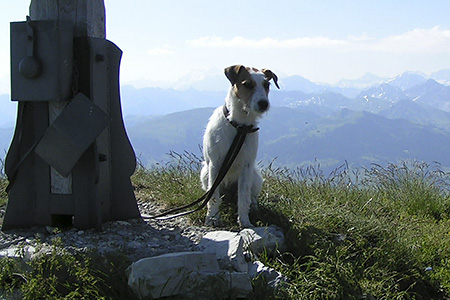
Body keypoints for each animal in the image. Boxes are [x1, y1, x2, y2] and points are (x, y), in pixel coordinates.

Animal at [200, 64, 278, 226]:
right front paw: (212, 218)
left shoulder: (246, 168)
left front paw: (244, 221)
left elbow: (243, 198)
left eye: (266, 85)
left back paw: (254, 208)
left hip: (255, 177)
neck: (240, 127)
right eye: (247, 84)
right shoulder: (215, 165)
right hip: (205, 173)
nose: (264, 104)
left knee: (251, 197)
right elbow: (213, 196)